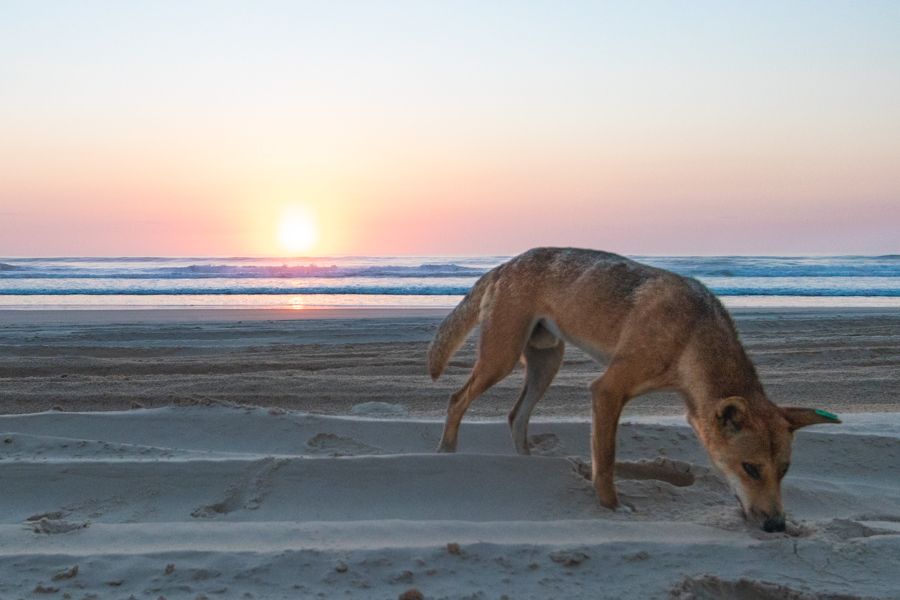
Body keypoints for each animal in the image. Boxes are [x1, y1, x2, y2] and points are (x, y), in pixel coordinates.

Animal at [426, 247, 840, 528]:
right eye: (751, 469)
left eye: (784, 470)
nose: (777, 526)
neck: (691, 335)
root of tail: (505, 264)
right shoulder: (607, 390)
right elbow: (607, 458)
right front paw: (610, 505)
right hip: (502, 360)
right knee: (456, 400)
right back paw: (446, 453)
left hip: (546, 363)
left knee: (516, 416)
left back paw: (525, 461)